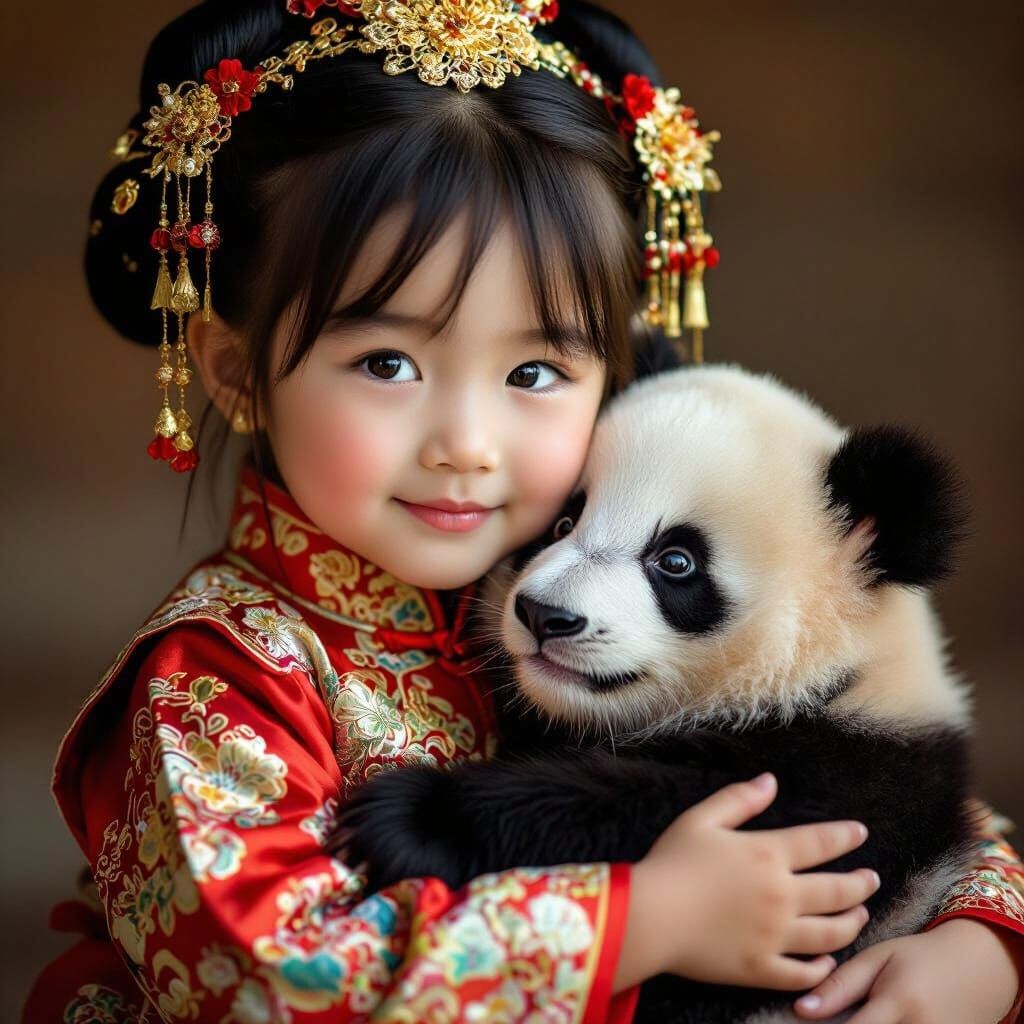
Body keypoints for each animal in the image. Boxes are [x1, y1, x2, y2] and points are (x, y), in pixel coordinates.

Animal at [334, 364, 981, 1024]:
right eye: (564, 523)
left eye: (676, 561)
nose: (544, 615)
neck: (836, 674)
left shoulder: (848, 793)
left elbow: (641, 806)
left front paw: (412, 817)